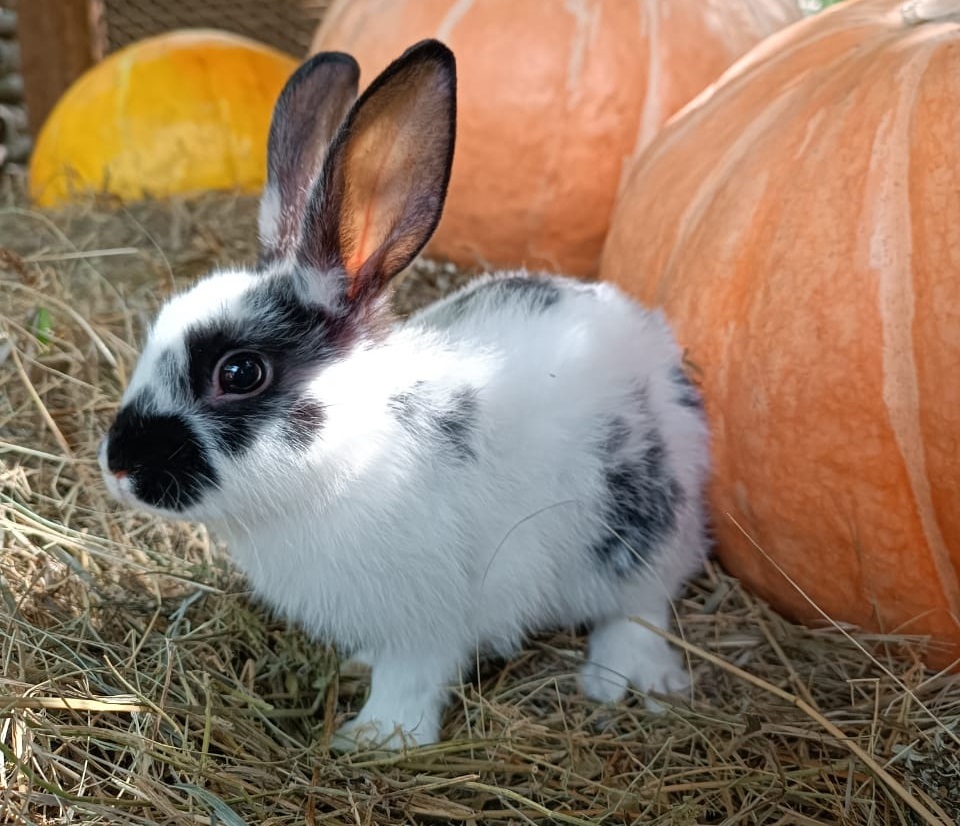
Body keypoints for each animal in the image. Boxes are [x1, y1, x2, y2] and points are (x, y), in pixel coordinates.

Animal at [97, 37, 712, 748]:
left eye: (240, 373)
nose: (118, 467)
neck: (355, 457)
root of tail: (655, 348)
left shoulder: (428, 623)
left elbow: (410, 682)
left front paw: (373, 740)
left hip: (640, 530)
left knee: (641, 608)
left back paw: (624, 681)